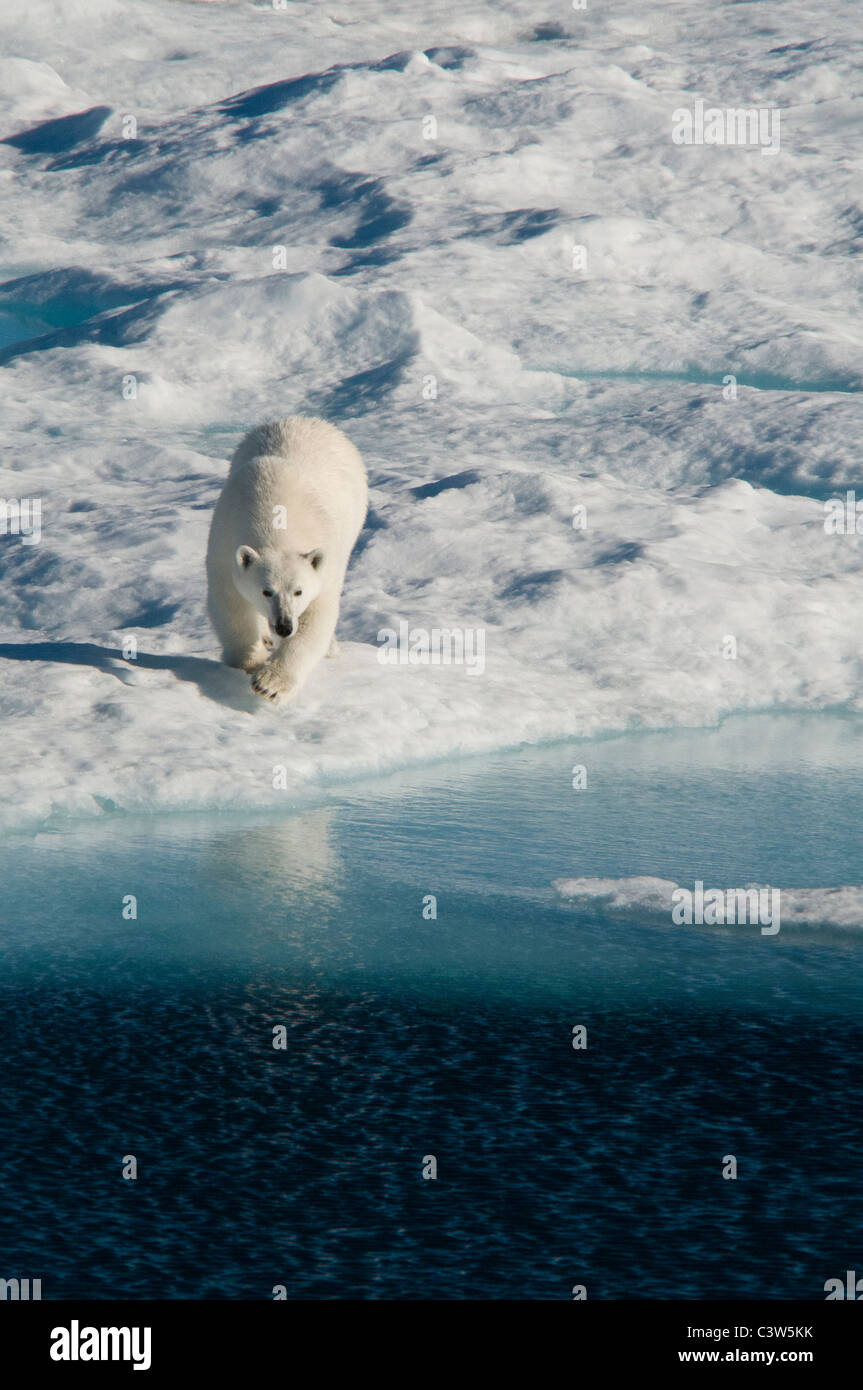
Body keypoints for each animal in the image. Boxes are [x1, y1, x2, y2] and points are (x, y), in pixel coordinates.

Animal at [209, 408, 369, 695]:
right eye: (266, 591)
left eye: (299, 591)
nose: (283, 626)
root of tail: (306, 419)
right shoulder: (225, 540)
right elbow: (230, 601)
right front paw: (251, 660)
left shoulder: (324, 554)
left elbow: (316, 616)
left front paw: (269, 683)